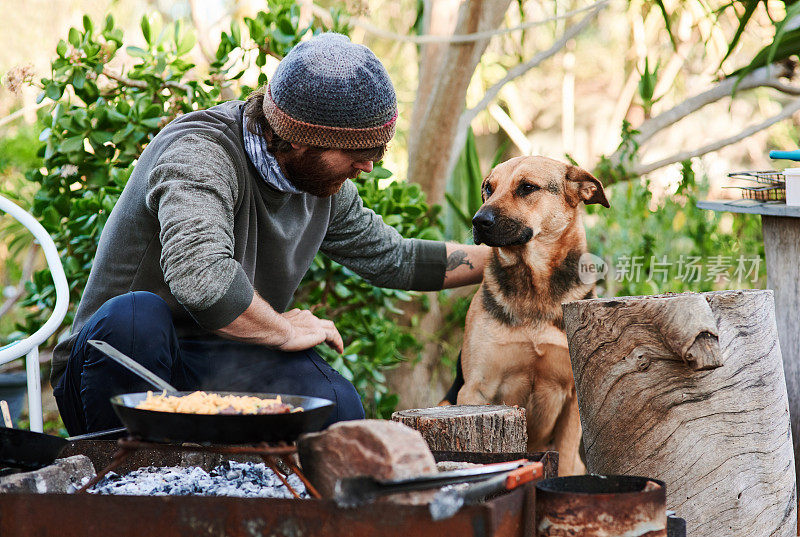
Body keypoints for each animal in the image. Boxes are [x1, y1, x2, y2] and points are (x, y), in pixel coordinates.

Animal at [450, 154, 608, 474]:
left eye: (527, 187)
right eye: (488, 188)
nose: (478, 221)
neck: (534, 286)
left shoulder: (573, 398)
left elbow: (564, 457)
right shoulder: (474, 391)